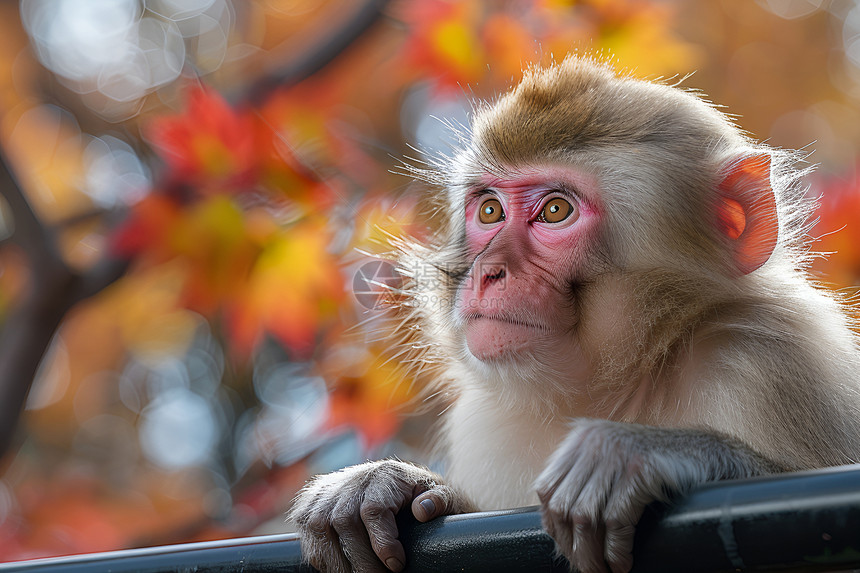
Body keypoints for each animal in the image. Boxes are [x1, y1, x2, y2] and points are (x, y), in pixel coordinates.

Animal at [286, 54, 860, 572]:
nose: (488, 271)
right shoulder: (487, 424)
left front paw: (647, 453)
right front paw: (389, 485)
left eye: (556, 210)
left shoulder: (767, 360)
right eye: (489, 209)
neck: (622, 380)